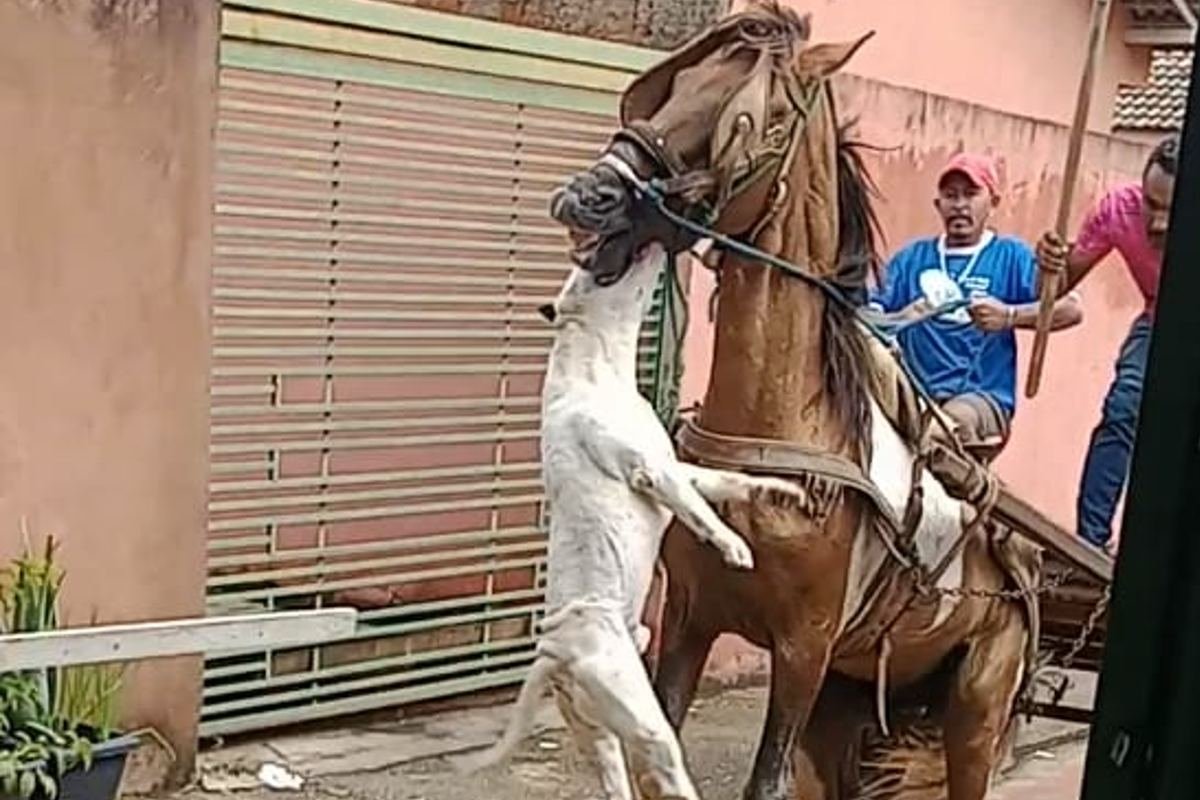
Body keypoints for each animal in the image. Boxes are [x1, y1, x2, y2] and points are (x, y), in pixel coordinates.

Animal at [458, 245, 806, 800]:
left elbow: (725, 483)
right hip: (645, 726)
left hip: (599, 734)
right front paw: (733, 546)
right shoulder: (651, 471)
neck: (594, 366)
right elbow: (697, 510)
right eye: (597, 270)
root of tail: (557, 653)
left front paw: (780, 490)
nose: (655, 246)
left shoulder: (678, 466)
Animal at [547, 4, 1041, 800]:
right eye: (672, 86)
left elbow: (764, 782)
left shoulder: (804, 649)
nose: (589, 194)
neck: (779, 434)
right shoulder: (689, 620)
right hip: (850, 705)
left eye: (758, 121)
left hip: (975, 708)